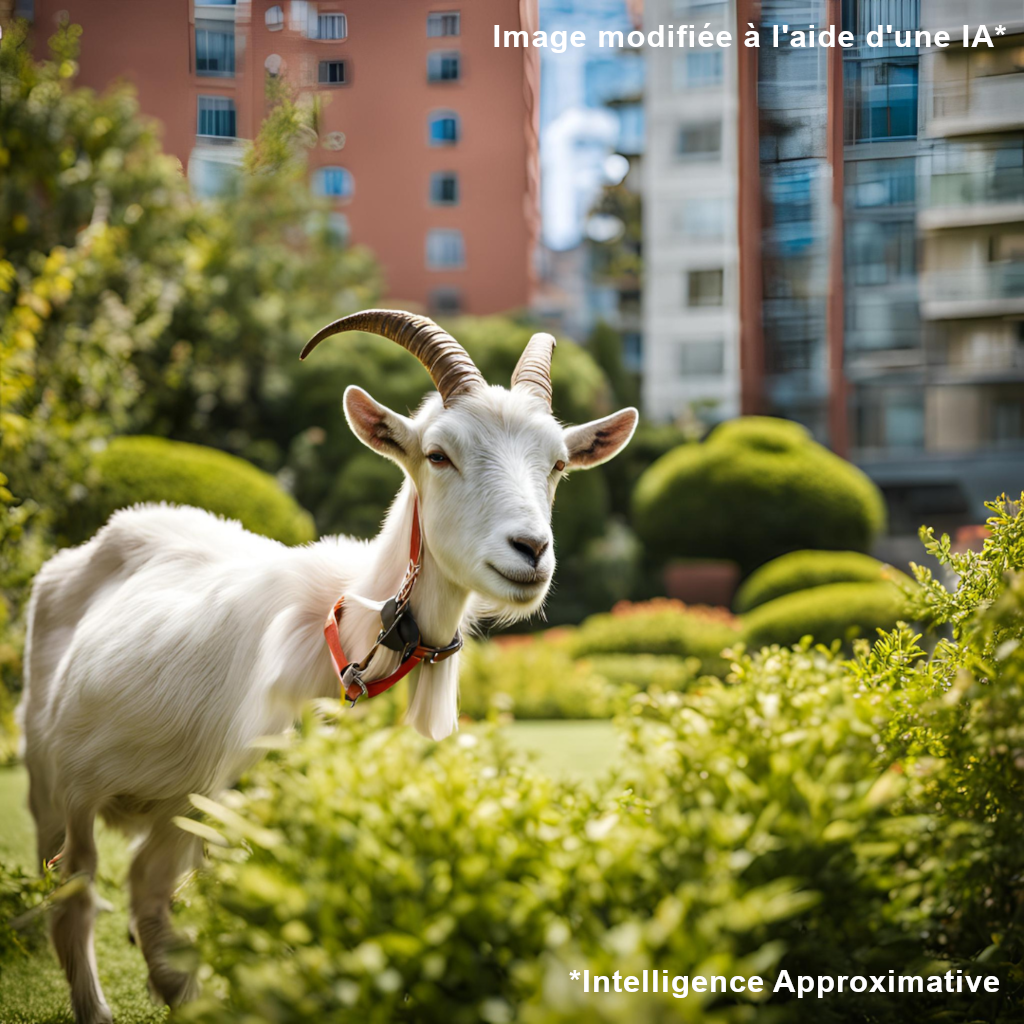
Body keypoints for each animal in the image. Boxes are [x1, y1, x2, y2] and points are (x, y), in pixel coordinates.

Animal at [19, 311, 634, 1024]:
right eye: (438, 454)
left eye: (558, 464)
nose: (530, 550)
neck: (353, 639)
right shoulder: (235, 799)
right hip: (54, 778)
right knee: (76, 893)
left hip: (172, 796)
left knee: (143, 881)